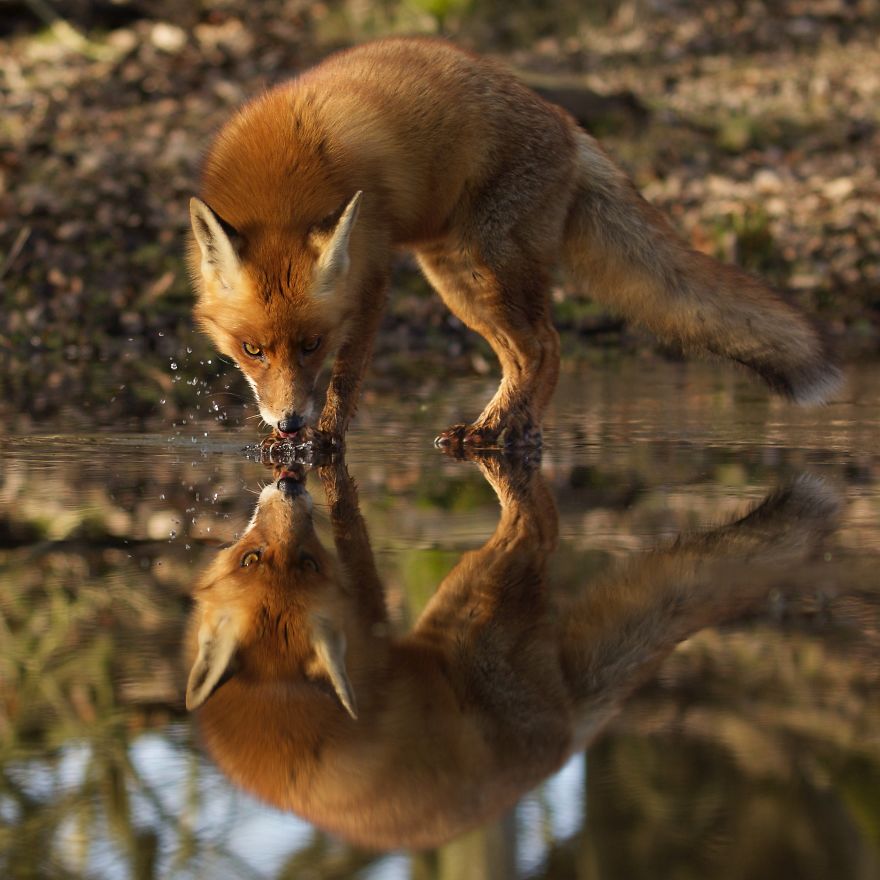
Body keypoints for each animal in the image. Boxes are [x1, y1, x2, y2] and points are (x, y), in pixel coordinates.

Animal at [184, 456, 838, 849]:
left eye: (306, 563)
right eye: (253, 558)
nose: (291, 482)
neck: (277, 697)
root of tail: (564, 744)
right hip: (476, 591)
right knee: (537, 526)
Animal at [188, 37, 841, 448]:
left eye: (312, 344)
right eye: (251, 350)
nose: (290, 424)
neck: (282, 186)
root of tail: (569, 125)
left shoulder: (371, 278)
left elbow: (346, 378)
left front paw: (323, 441)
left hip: (488, 266)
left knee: (547, 348)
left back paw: (506, 433)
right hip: (455, 278)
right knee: (520, 356)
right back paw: (502, 427)